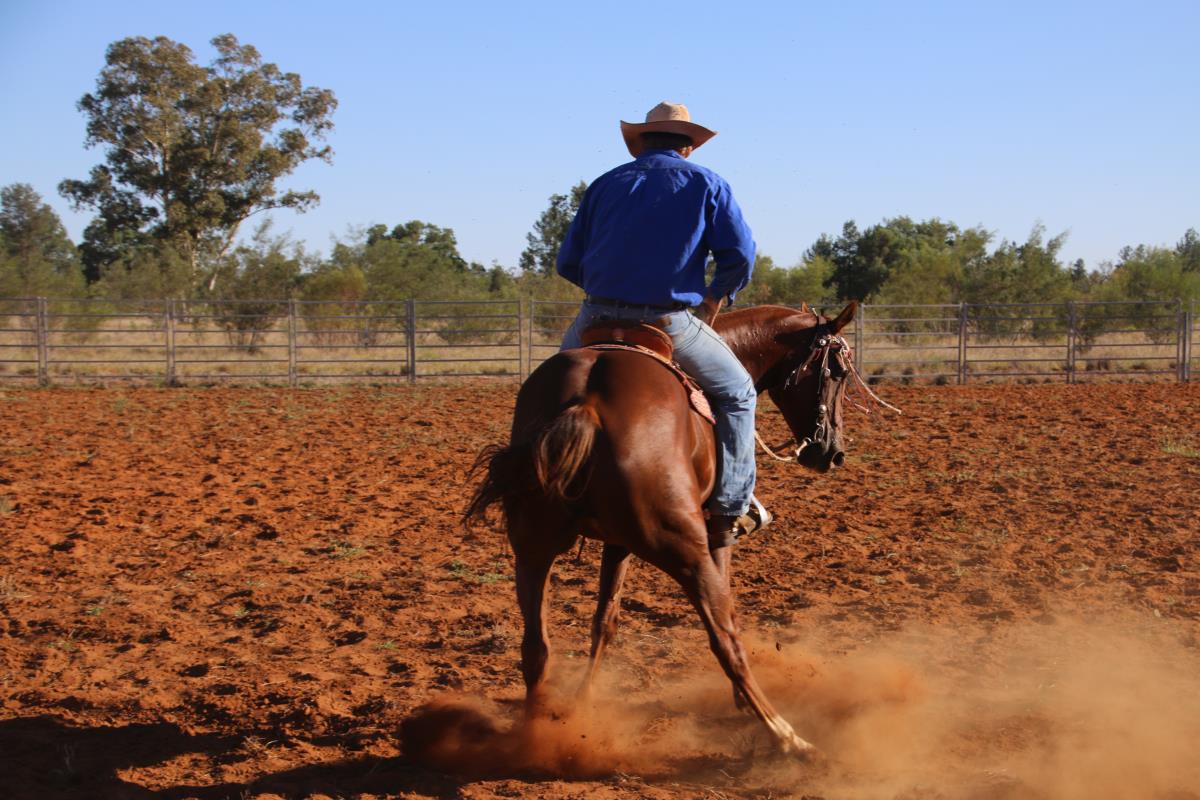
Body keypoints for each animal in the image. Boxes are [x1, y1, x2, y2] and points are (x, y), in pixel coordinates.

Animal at [466, 301, 869, 757]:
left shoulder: (617, 544)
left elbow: (605, 621)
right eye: (836, 372)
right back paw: (786, 735)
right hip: (684, 548)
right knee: (724, 638)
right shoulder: (716, 536)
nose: (832, 453)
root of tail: (585, 404)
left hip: (532, 549)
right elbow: (727, 611)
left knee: (536, 649)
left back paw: (534, 738)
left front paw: (584, 702)